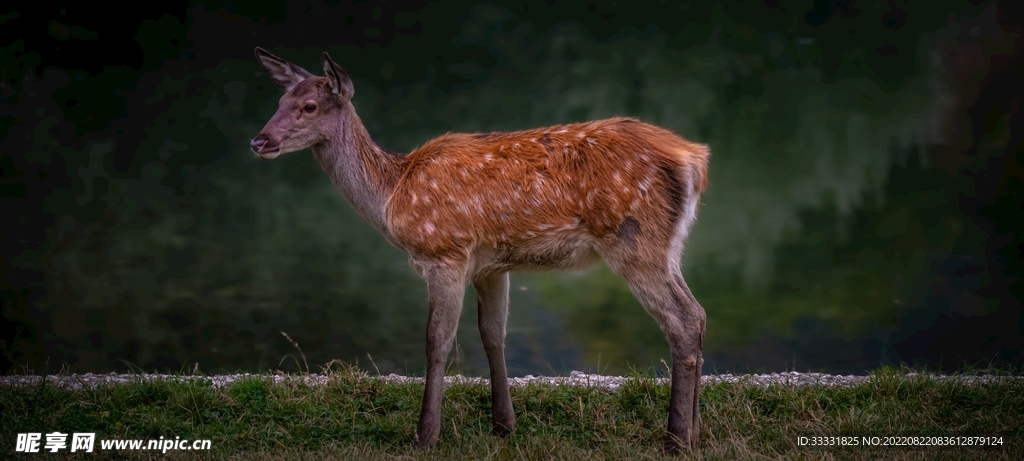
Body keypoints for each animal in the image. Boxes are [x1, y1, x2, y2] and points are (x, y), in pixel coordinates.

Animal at [249, 47, 710, 453]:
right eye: (280, 100)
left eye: (309, 106)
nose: (259, 141)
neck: (392, 195)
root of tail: (695, 159)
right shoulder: (491, 266)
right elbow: (493, 335)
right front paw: (503, 425)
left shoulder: (445, 252)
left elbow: (437, 341)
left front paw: (425, 436)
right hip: (670, 246)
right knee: (699, 314)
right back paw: (695, 432)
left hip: (634, 241)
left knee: (682, 321)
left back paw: (674, 439)